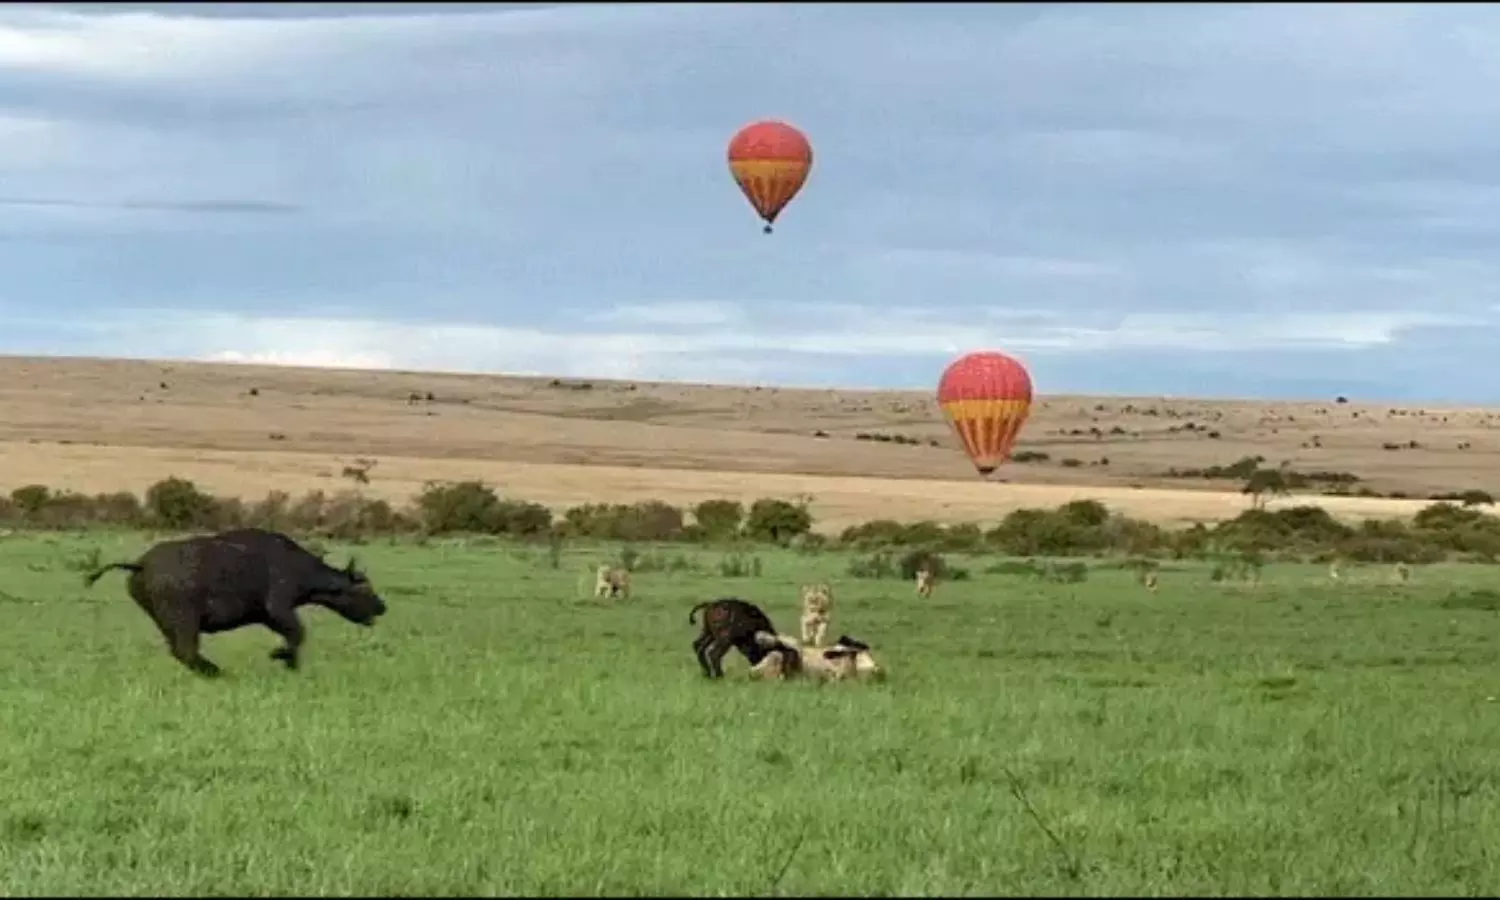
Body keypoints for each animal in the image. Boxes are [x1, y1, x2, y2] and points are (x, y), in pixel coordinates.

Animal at [85, 528, 386, 677]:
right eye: (364, 590)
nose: (382, 607)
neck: (296, 566)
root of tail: (140, 564)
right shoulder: (280, 609)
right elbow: (298, 634)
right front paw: (281, 656)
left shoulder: (269, 617)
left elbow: (294, 637)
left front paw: (290, 663)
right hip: (184, 621)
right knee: (186, 651)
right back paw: (218, 673)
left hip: (168, 623)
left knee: (181, 653)